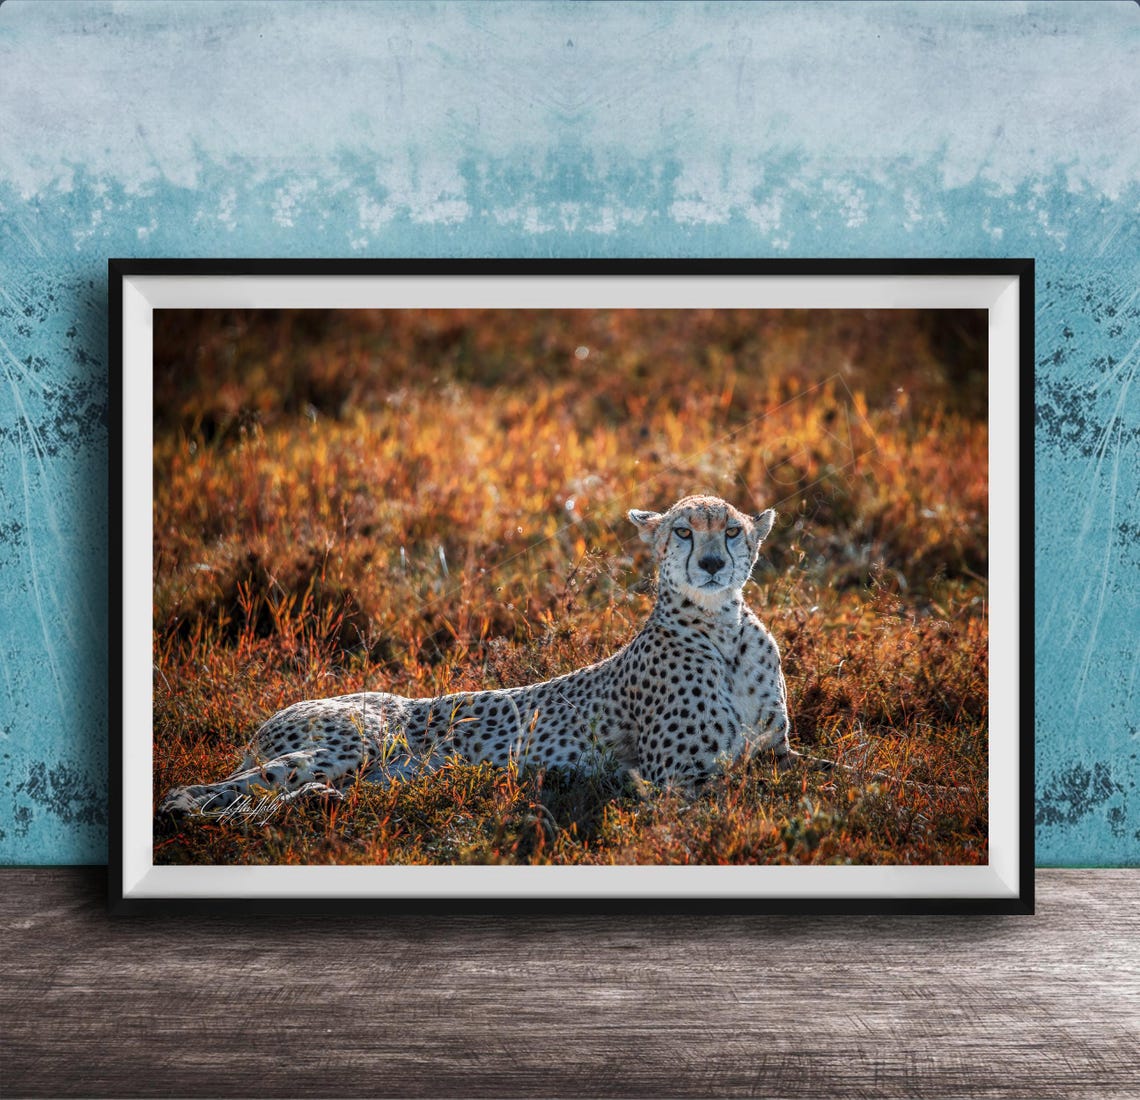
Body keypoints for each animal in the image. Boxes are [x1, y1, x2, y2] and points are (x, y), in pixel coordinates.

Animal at [159, 495, 790, 815]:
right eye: (683, 531)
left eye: (732, 531)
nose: (711, 563)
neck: (722, 627)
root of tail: (268, 717)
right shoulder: (680, 781)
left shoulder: (776, 754)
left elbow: (802, 776)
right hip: (353, 743)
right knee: (191, 796)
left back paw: (318, 802)